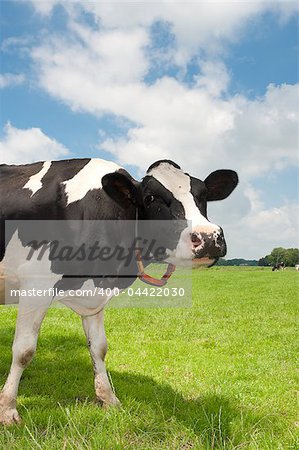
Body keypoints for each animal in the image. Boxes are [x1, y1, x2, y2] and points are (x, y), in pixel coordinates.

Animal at [0, 156, 239, 424]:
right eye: (150, 198)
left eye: (203, 195)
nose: (208, 238)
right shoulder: (36, 283)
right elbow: (24, 350)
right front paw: (7, 409)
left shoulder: (94, 295)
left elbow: (99, 347)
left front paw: (108, 399)